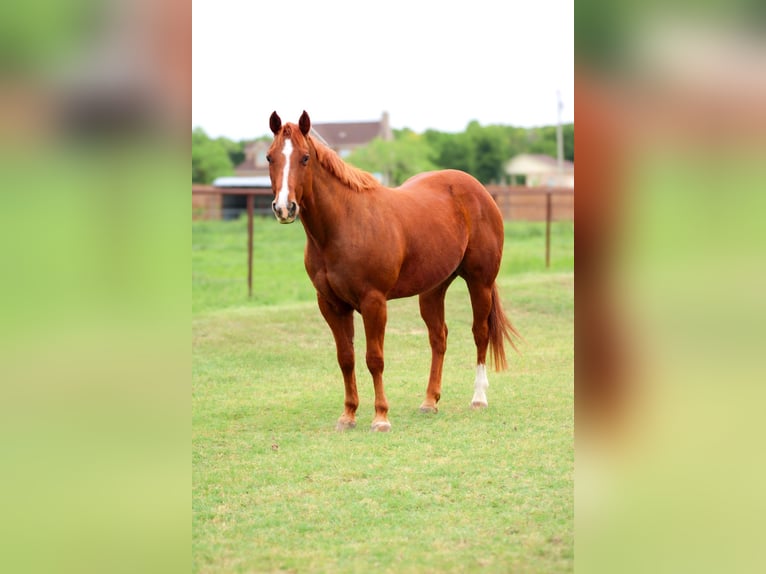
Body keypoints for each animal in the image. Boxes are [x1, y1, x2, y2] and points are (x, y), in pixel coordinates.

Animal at [266, 111, 520, 432]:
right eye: (270, 157)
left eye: (305, 158)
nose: (284, 208)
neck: (345, 224)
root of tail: (479, 190)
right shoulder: (331, 305)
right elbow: (346, 358)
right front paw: (348, 415)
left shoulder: (373, 302)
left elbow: (374, 358)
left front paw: (381, 417)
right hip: (433, 289)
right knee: (438, 337)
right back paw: (429, 401)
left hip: (480, 282)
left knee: (480, 332)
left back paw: (478, 398)